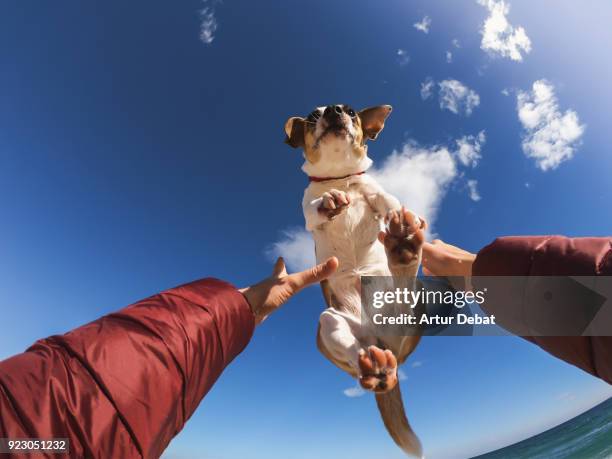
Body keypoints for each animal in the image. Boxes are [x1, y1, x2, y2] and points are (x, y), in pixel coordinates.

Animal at [286, 105, 426, 459]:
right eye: (313, 114)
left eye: (351, 111)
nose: (336, 111)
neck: (341, 179)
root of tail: (383, 344)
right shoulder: (307, 211)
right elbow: (314, 207)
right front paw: (328, 202)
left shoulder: (375, 193)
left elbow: (387, 199)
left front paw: (402, 215)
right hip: (329, 325)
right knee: (356, 356)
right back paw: (373, 366)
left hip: (410, 310)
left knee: (404, 293)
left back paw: (403, 247)